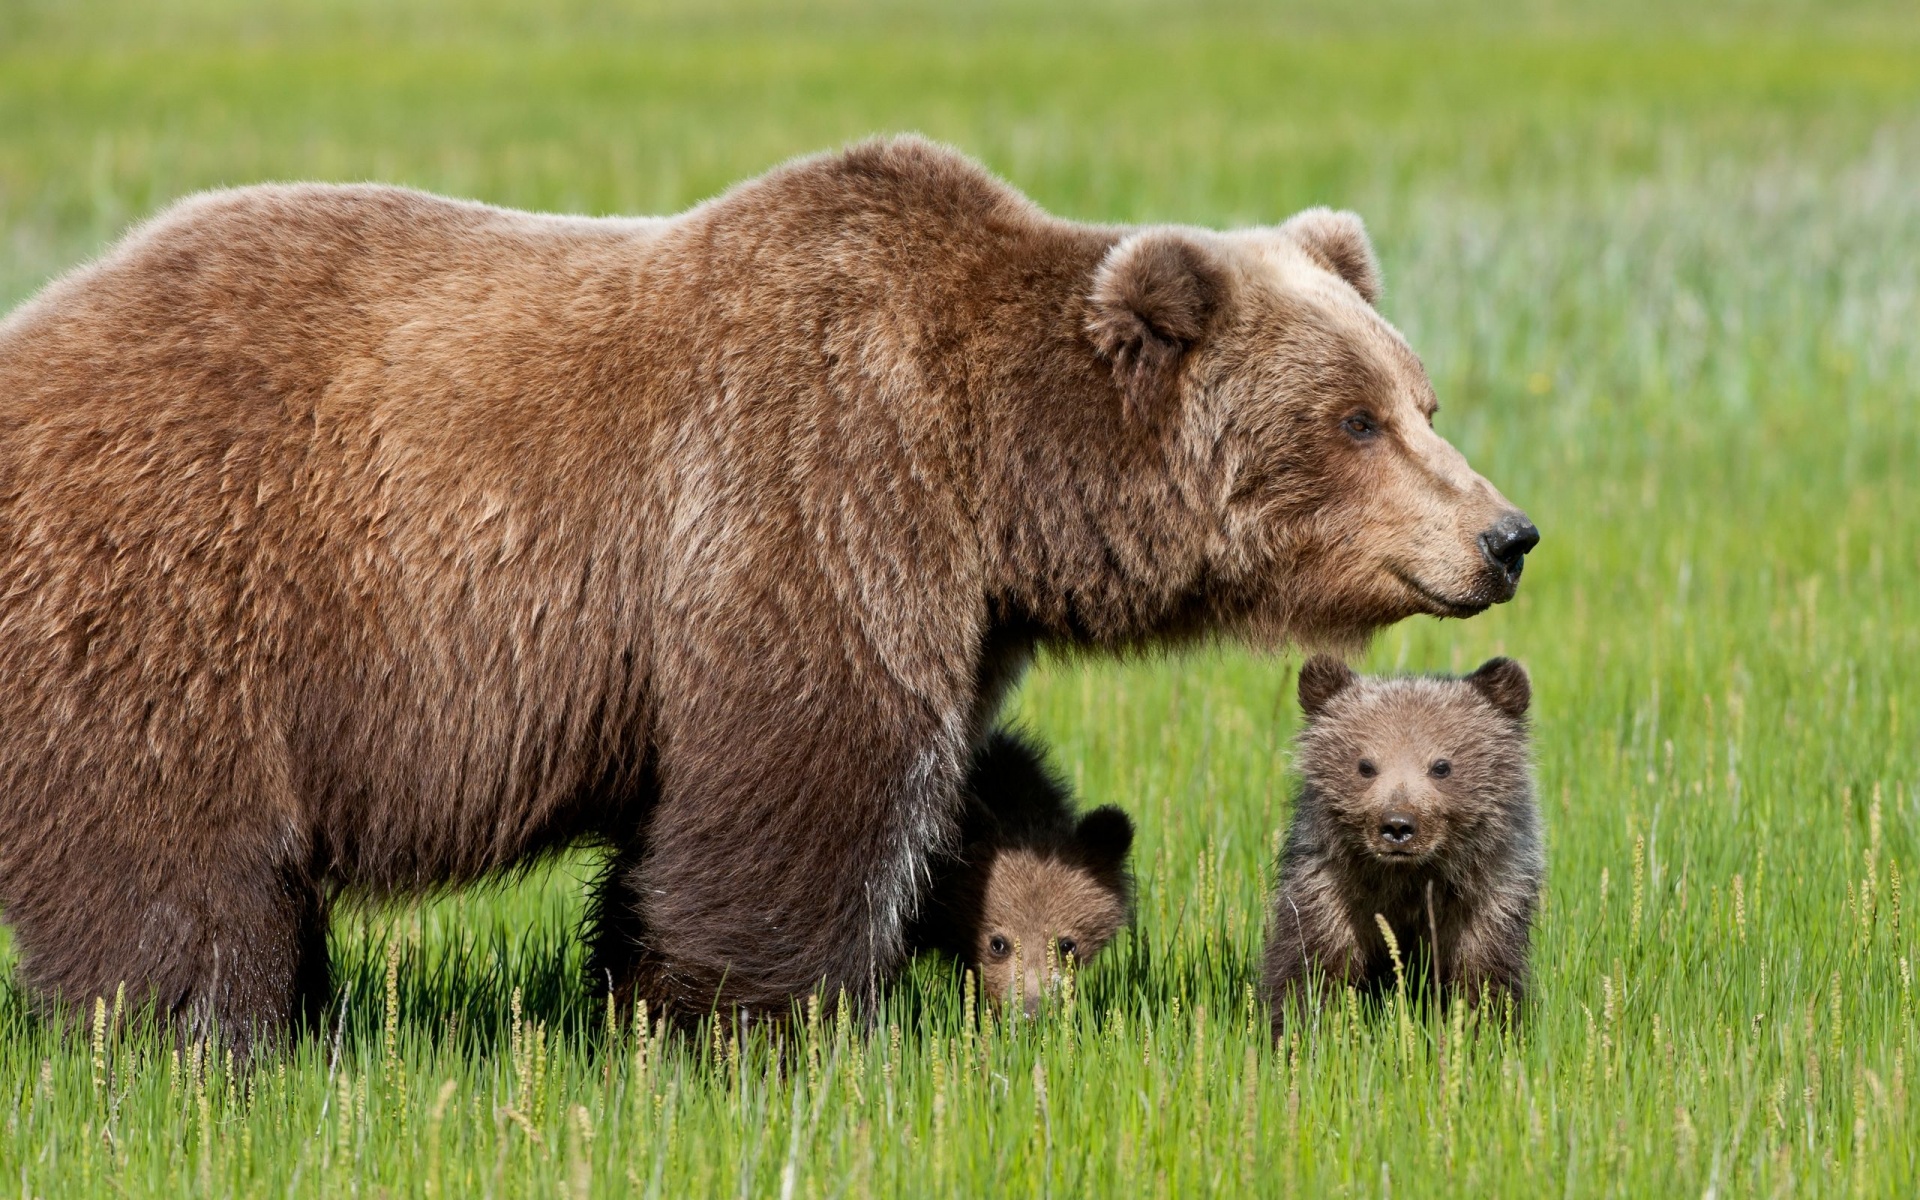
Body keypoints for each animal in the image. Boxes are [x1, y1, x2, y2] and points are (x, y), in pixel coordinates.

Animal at [0, 133, 1528, 1044]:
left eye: (1422, 397)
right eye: (1353, 420)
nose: (1506, 534)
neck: (993, 473)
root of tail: (36, 330)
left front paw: (637, 993)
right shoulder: (811, 498)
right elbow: (803, 785)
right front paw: (765, 1023)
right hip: (181, 592)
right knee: (171, 855)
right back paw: (203, 1034)